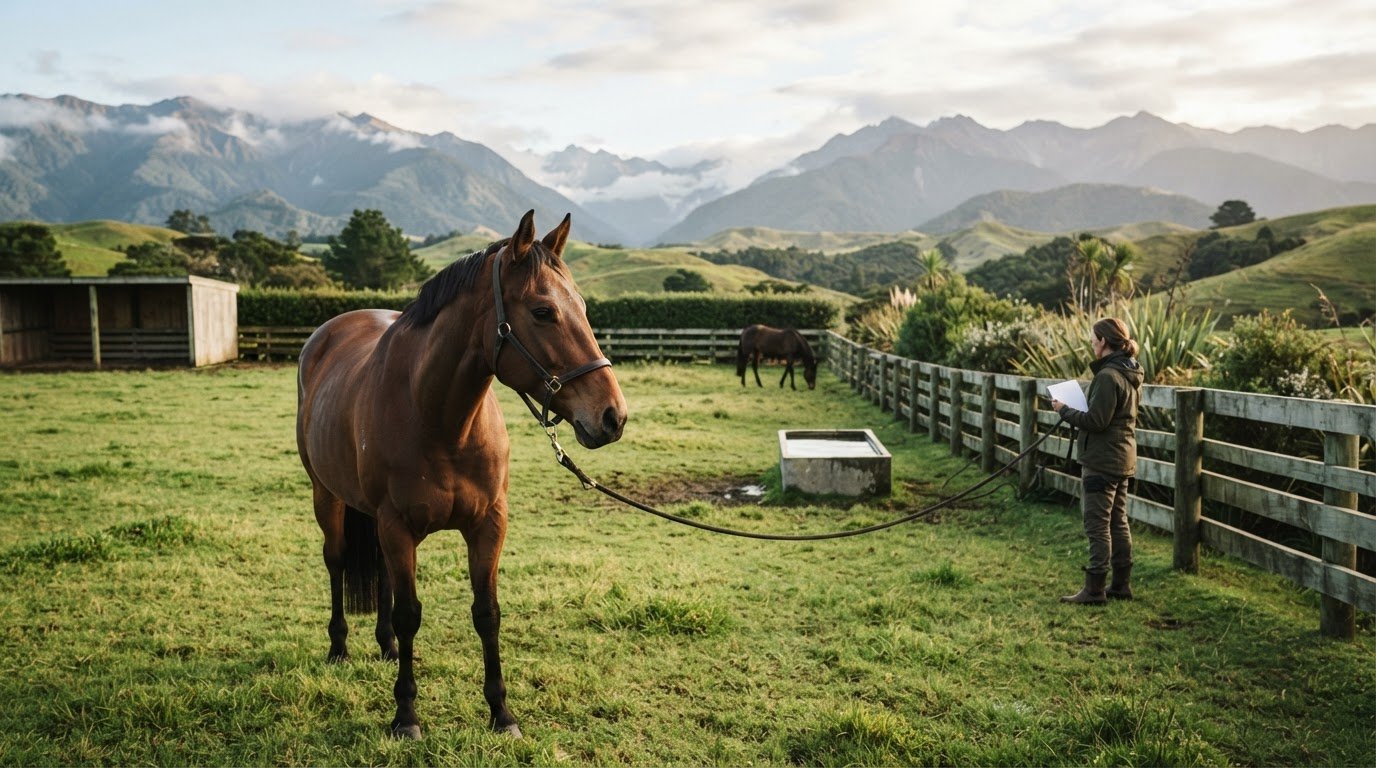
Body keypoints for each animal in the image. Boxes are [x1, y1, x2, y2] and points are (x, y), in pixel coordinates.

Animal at [295, 210, 627, 740]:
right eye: (542, 312)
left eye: (582, 306)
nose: (613, 416)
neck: (440, 419)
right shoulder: (396, 526)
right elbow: (410, 614)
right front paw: (406, 716)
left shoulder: (488, 524)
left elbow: (486, 614)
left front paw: (501, 713)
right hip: (326, 496)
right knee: (337, 561)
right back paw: (339, 647)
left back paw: (385, 648)